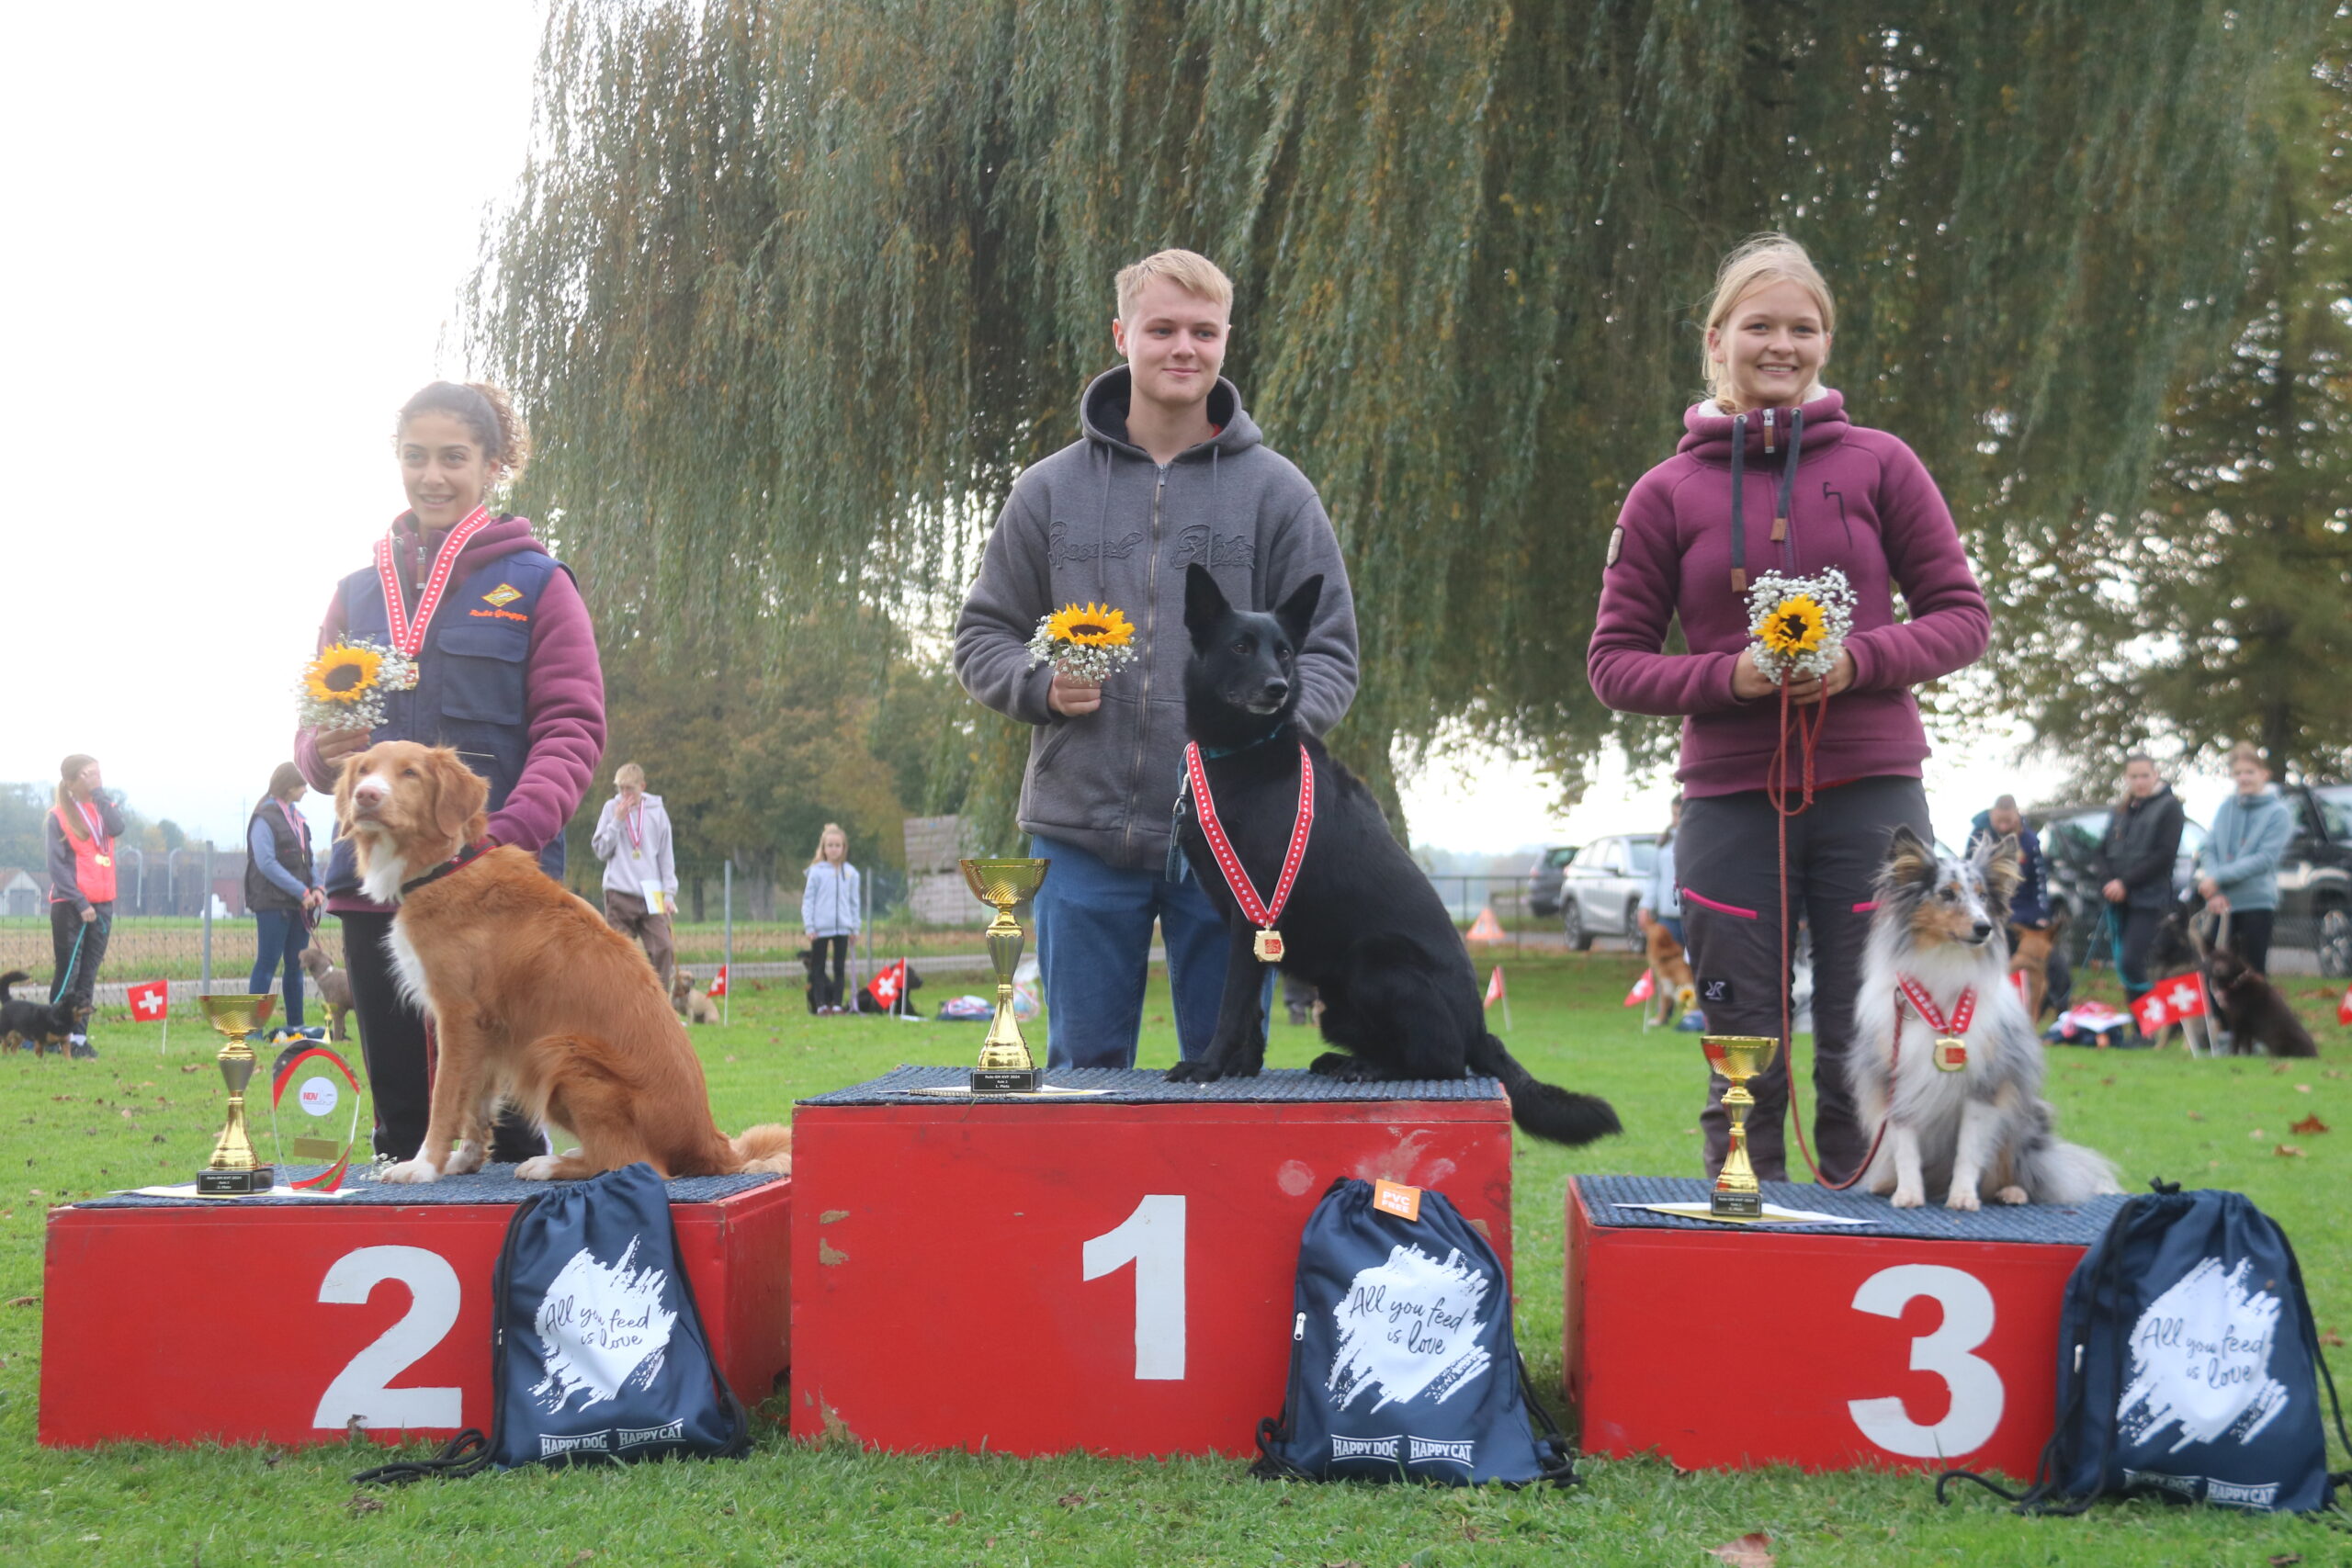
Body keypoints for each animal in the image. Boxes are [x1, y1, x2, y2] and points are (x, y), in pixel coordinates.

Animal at [336, 742, 790, 1184]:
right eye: (364, 771)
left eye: (410, 773)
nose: (366, 796)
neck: (446, 866)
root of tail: (711, 1144)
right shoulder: (486, 1030)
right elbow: (477, 1104)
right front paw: (464, 1160)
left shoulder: (457, 1017)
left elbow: (445, 1099)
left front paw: (424, 1165)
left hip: (558, 1051)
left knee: (633, 1162)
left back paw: (549, 1164)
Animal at [1166, 566, 1627, 1152]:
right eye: (1241, 646)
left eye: (1285, 652)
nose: (1277, 688)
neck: (1246, 755)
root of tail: (1480, 1029)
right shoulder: (1244, 922)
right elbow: (1249, 1009)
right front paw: (1241, 1066)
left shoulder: (1255, 913)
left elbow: (1231, 1006)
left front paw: (1207, 1067)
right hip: (1336, 1003)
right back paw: (1347, 1062)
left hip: (1377, 962)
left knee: (1442, 1062)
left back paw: (1368, 1069)